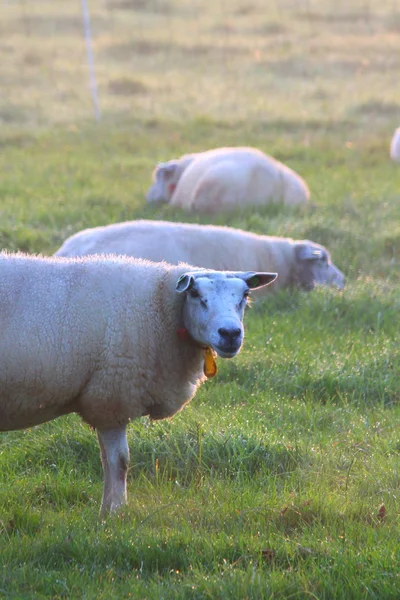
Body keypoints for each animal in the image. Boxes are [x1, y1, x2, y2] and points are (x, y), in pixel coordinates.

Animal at [0, 253, 276, 516]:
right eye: (196, 294)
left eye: (245, 295)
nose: (230, 334)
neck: (160, 309)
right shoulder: (112, 397)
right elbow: (119, 461)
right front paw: (116, 513)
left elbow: (109, 460)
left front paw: (108, 510)